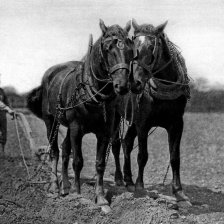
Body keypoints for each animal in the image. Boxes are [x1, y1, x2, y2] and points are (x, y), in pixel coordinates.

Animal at [27, 20, 134, 206]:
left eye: (129, 48)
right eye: (108, 48)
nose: (122, 85)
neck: (93, 94)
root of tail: (48, 74)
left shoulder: (104, 132)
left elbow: (100, 163)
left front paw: (100, 197)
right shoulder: (76, 128)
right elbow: (77, 161)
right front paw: (77, 195)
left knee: (64, 149)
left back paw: (65, 186)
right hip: (51, 122)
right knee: (55, 151)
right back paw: (55, 186)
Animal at [112, 20, 191, 206]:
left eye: (151, 47)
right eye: (133, 48)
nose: (134, 83)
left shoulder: (177, 124)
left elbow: (175, 157)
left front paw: (179, 193)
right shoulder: (143, 123)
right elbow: (143, 155)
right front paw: (140, 188)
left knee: (126, 142)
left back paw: (128, 180)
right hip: (114, 116)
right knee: (116, 144)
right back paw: (119, 178)